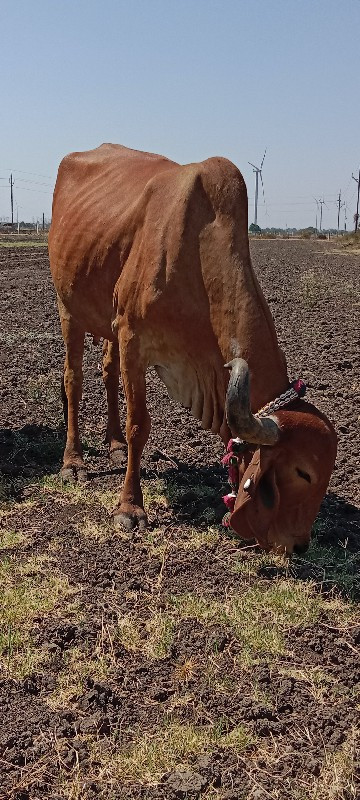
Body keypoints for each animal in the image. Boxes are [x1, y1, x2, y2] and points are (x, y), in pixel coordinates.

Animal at [48, 144, 338, 552]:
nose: (299, 545)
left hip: (107, 322)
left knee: (107, 374)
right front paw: (130, 509)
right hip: (68, 309)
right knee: (73, 381)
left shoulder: (125, 334)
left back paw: (114, 444)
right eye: (303, 472)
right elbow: (140, 424)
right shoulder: (133, 338)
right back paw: (73, 463)